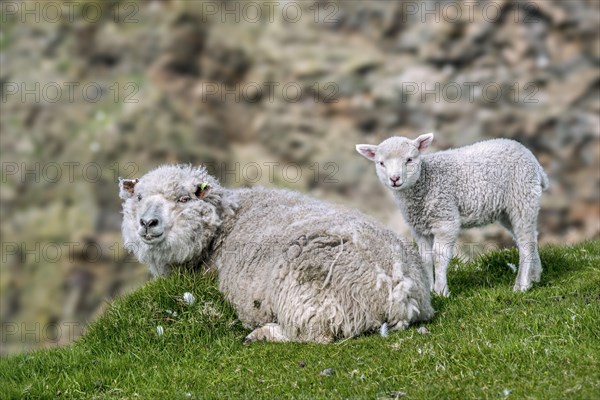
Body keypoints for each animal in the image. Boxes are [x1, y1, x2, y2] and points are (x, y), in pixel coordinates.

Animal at [119, 164, 434, 342]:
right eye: (138, 197)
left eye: (183, 199)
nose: (147, 223)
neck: (225, 223)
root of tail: (400, 288)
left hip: (312, 294)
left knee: (312, 335)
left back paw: (262, 334)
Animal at [356, 134, 548, 296]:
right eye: (381, 163)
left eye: (409, 159)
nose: (395, 179)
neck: (425, 180)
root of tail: (534, 161)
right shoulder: (419, 228)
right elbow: (425, 257)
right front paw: (429, 289)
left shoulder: (445, 219)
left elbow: (439, 256)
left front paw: (441, 291)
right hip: (507, 211)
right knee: (530, 237)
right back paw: (535, 276)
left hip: (522, 198)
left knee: (526, 243)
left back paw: (522, 285)